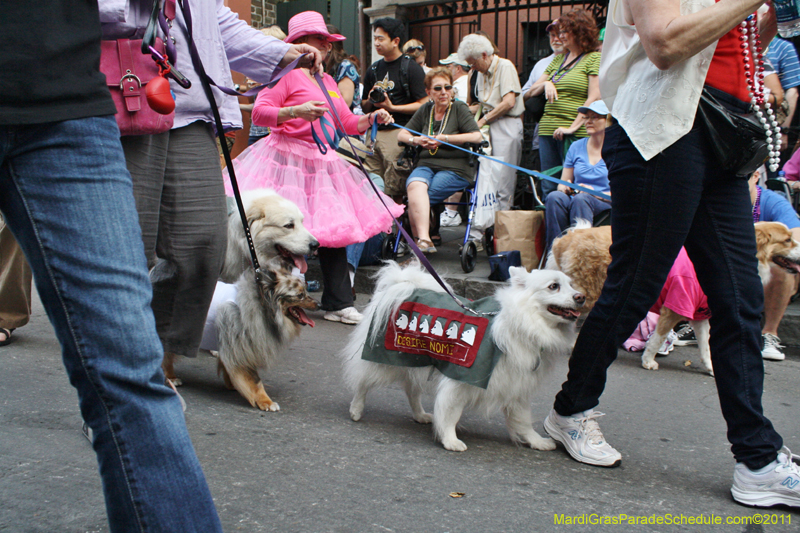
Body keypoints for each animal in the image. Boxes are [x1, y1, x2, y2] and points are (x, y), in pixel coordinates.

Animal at [340, 260, 584, 450]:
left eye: (571, 285)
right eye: (553, 286)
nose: (581, 297)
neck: (522, 324)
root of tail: (402, 284)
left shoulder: (515, 385)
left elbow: (523, 420)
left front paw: (536, 441)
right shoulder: (461, 380)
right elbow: (450, 412)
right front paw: (450, 440)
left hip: (417, 360)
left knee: (411, 390)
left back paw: (420, 415)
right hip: (383, 360)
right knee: (363, 383)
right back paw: (356, 409)